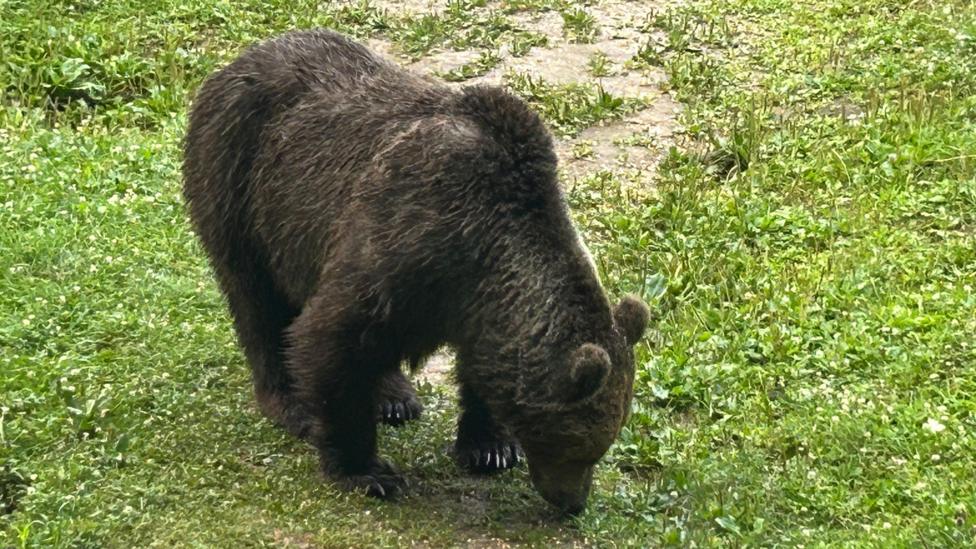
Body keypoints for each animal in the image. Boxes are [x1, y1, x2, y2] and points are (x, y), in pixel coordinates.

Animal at [182, 28, 649, 515]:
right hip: (242, 183)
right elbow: (328, 338)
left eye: (600, 446)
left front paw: (491, 447)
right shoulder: (405, 239)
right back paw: (290, 400)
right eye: (577, 447)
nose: (573, 501)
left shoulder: (468, 301)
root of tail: (239, 59)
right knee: (257, 301)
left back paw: (395, 398)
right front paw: (367, 470)